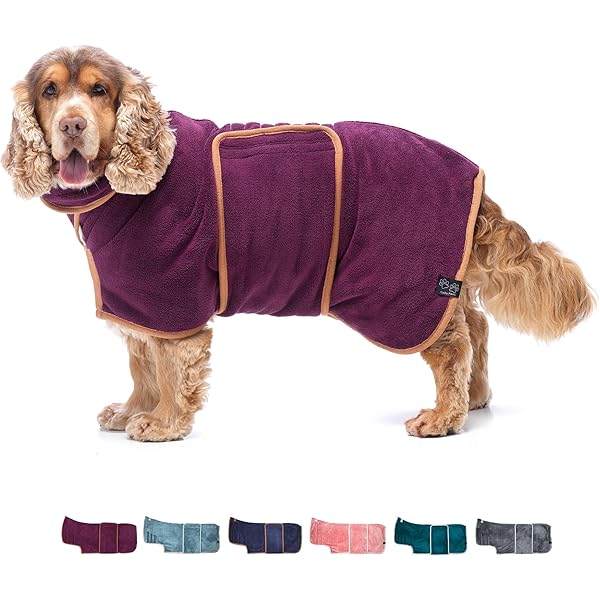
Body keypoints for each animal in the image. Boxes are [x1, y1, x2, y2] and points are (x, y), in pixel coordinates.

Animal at [2, 46, 594, 441]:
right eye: (51, 91)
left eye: (98, 91)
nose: (72, 125)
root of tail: (473, 173)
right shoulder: (138, 301)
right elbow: (141, 363)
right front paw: (132, 410)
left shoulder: (171, 299)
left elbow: (170, 369)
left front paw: (165, 422)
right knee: (474, 325)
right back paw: (473, 399)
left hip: (395, 285)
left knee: (452, 343)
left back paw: (443, 416)